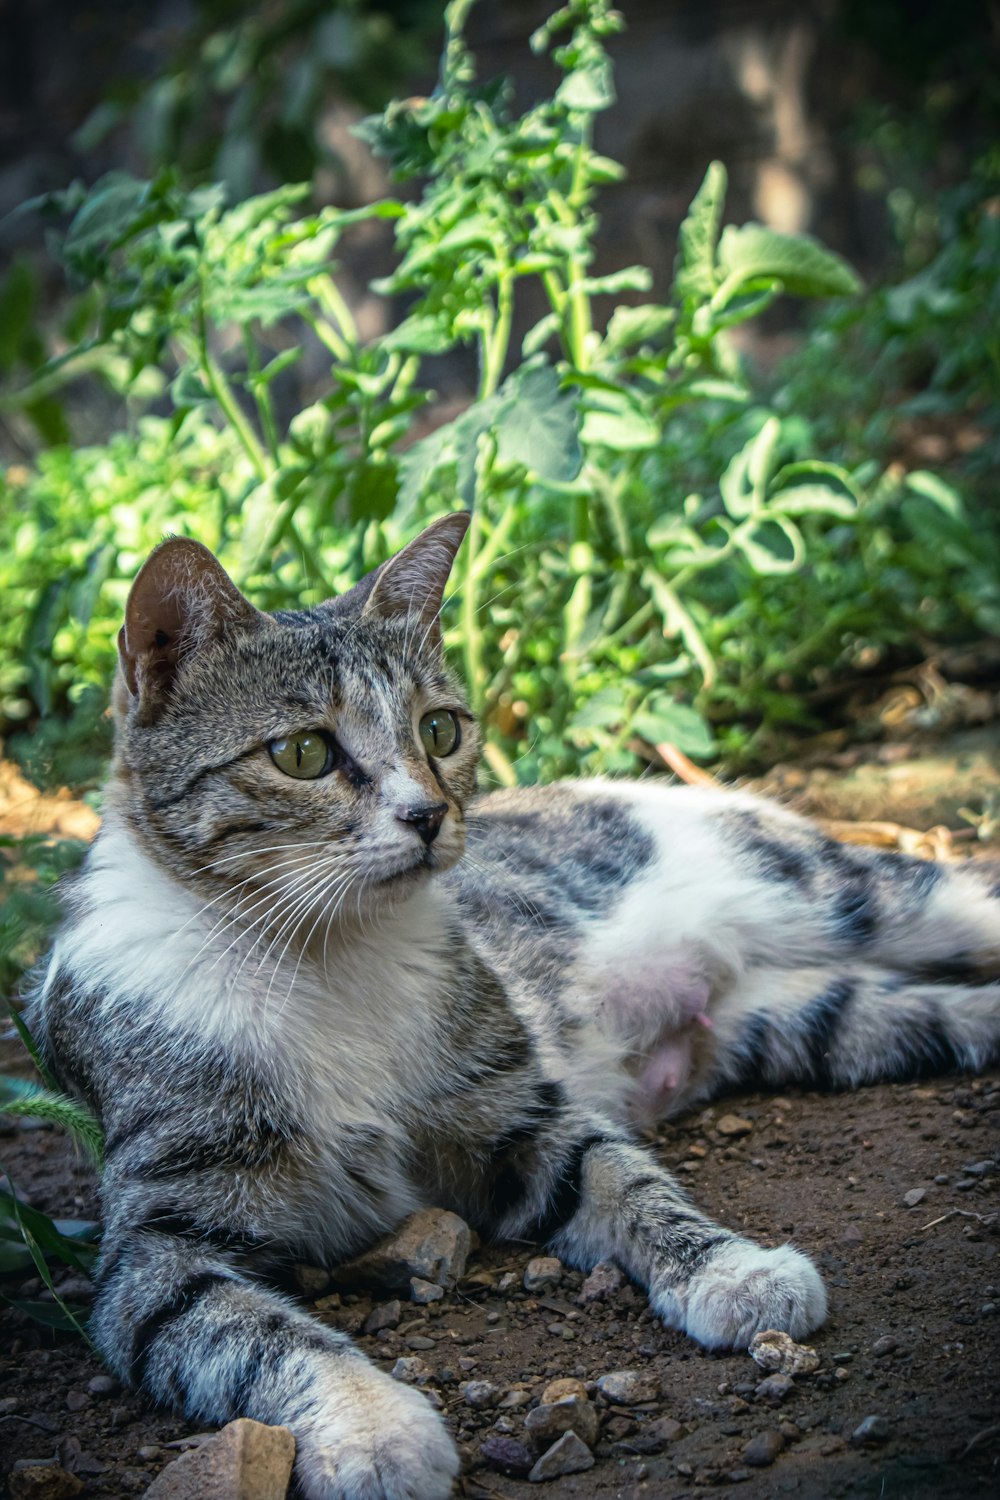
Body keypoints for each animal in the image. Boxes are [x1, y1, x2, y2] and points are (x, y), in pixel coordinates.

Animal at [27, 516, 1000, 1500]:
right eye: (301, 753)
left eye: (441, 729)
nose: (427, 814)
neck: (330, 956)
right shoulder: (155, 1251)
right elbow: (253, 1333)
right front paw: (372, 1428)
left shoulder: (517, 1110)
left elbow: (629, 1182)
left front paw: (734, 1266)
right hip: (803, 1017)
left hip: (834, 892)